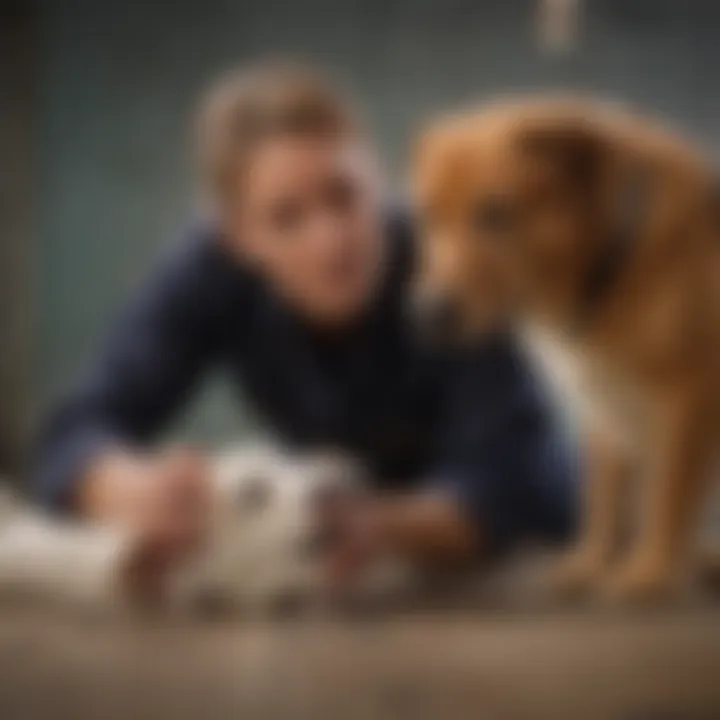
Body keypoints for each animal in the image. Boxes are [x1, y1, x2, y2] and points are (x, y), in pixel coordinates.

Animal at [410, 97, 720, 600]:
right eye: (428, 217)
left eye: (496, 213)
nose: (426, 313)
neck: (612, 263)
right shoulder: (604, 404)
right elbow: (604, 498)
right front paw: (591, 564)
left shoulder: (690, 394)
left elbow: (666, 494)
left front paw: (649, 571)